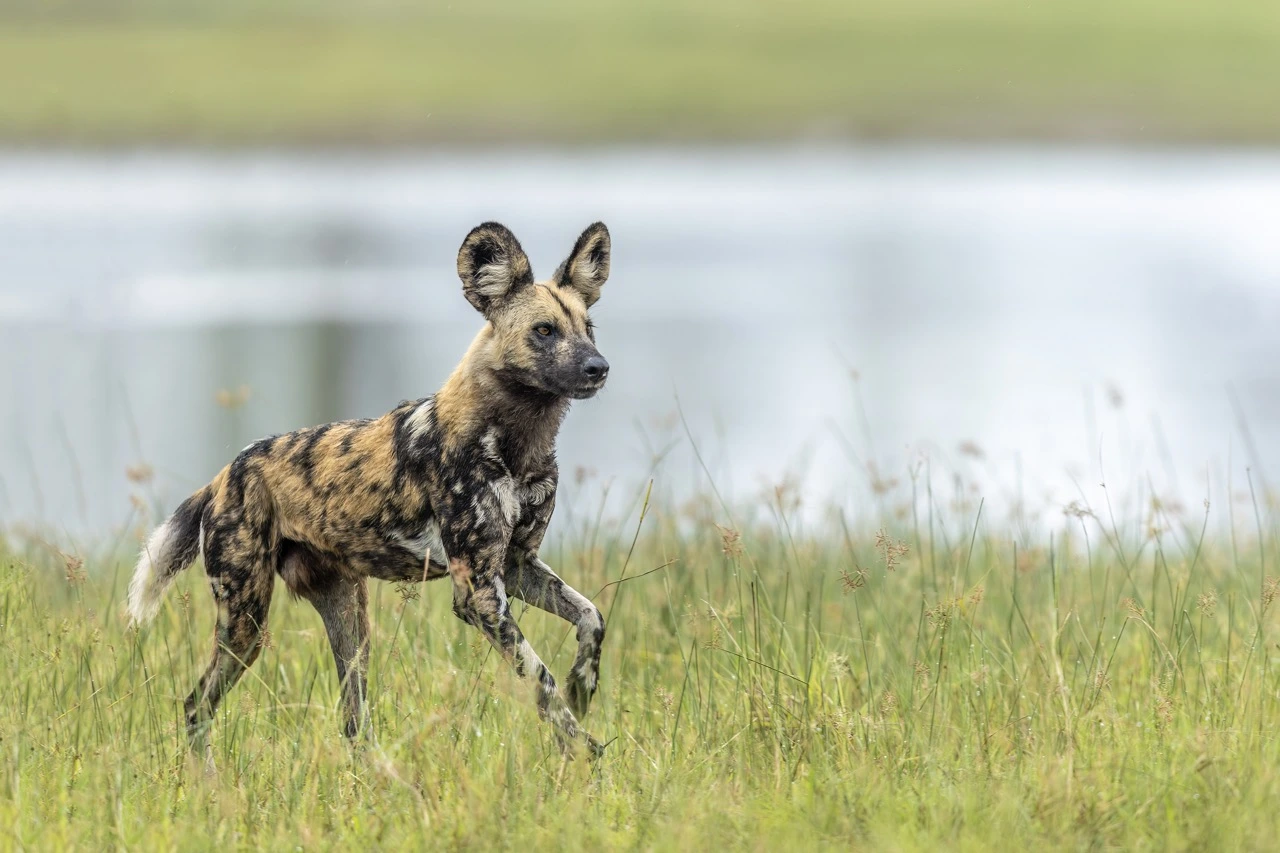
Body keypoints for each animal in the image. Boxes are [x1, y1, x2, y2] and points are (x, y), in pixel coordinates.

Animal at [128, 222, 614, 753]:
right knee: (197, 707)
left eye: (589, 328)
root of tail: (222, 476)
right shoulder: (480, 593)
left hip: (348, 617)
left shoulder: (516, 566)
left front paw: (583, 687)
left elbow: (592, 617)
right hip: (245, 625)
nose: (599, 367)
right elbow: (541, 680)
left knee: (353, 720)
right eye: (544, 331)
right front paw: (583, 751)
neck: (518, 442)